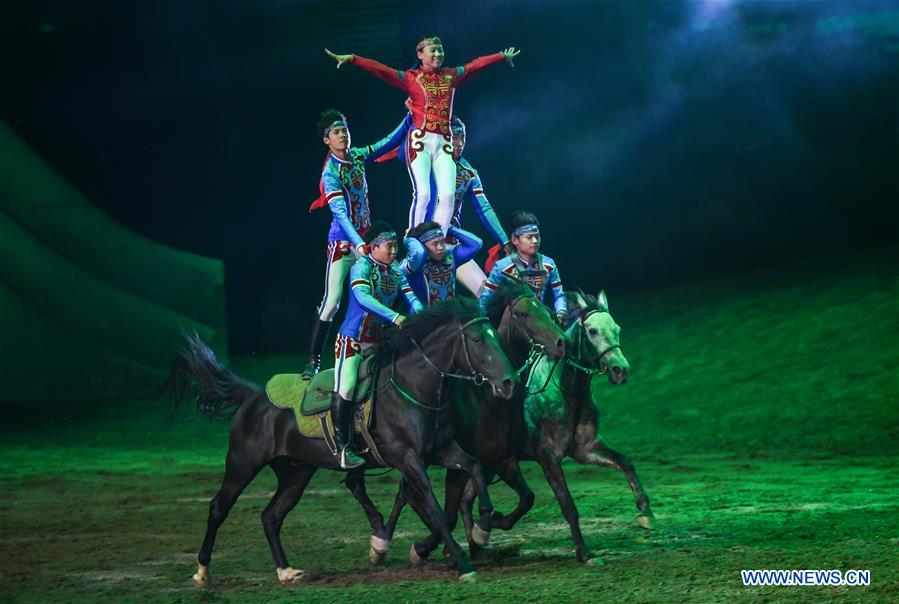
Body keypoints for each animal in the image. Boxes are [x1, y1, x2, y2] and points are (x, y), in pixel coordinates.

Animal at [169, 298, 520, 584]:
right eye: (477, 339)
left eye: (495, 336)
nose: (508, 383)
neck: (412, 385)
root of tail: (253, 396)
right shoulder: (408, 459)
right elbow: (435, 511)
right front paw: (463, 565)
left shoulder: (441, 449)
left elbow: (474, 468)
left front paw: (483, 527)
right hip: (243, 464)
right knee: (219, 507)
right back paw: (202, 571)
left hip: (296, 473)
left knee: (271, 516)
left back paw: (286, 571)